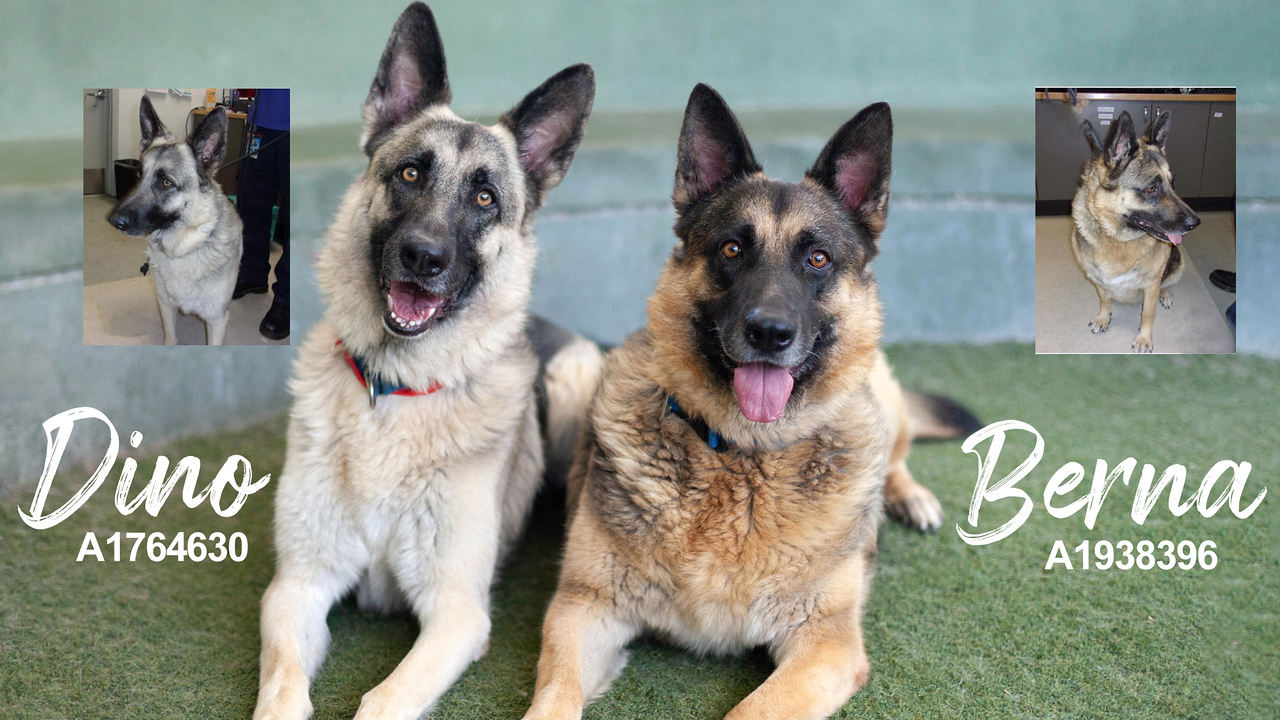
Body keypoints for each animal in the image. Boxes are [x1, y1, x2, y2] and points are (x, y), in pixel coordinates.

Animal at [107, 96, 241, 343]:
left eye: (166, 182)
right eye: (138, 174)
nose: (113, 221)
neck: (185, 247)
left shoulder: (217, 321)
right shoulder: (165, 306)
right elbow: (170, 337)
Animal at [257, 5, 601, 717]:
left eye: (485, 198)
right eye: (411, 174)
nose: (423, 256)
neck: (395, 391)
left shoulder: (455, 614)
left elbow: (383, 700)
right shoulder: (296, 587)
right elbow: (280, 687)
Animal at [519, 85, 977, 717]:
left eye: (818, 259)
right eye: (732, 249)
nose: (769, 332)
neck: (743, 457)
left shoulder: (826, 644)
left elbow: (751, 710)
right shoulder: (583, 607)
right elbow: (553, 698)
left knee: (896, 456)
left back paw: (911, 498)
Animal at [1070, 108, 1198, 351]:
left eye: (1173, 182)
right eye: (1151, 188)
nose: (1195, 223)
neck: (1117, 238)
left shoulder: (1150, 285)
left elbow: (1148, 313)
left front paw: (1144, 338)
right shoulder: (1097, 280)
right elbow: (1104, 300)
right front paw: (1103, 317)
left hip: (1176, 264)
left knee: (1166, 281)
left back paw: (1165, 294)